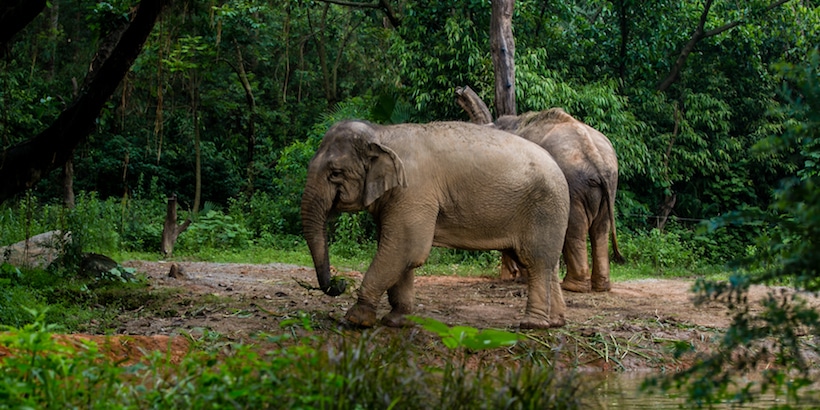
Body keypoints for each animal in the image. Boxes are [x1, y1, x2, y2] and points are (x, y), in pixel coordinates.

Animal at [302, 120, 572, 328]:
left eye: (335, 173)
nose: (339, 283)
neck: (381, 133)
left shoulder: (413, 191)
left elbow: (407, 249)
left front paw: (356, 320)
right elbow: (399, 253)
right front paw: (396, 320)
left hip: (543, 209)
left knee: (536, 262)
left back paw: (532, 324)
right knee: (548, 263)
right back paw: (555, 322)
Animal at [494, 107, 620, 294]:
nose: (511, 275)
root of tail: (596, 158)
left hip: (572, 185)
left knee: (575, 228)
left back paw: (572, 287)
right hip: (610, 186)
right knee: (600, 229)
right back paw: (600, 287)